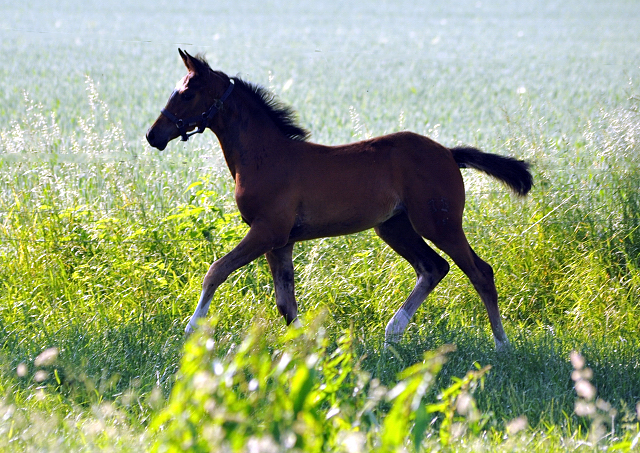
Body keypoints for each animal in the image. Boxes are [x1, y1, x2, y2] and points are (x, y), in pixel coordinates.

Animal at [148, 49, 532, 348]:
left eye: (186, 94)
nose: (153, 135)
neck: (265, 156)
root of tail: (450, 154)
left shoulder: (267, 231)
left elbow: (216, 271)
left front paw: (191, 328)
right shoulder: (280, 241)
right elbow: (286, 303)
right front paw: (305, 350)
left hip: (440, 223)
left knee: (480, 272)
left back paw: (501, 345)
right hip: (394, 227)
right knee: (433, 267)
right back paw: (392, 334)